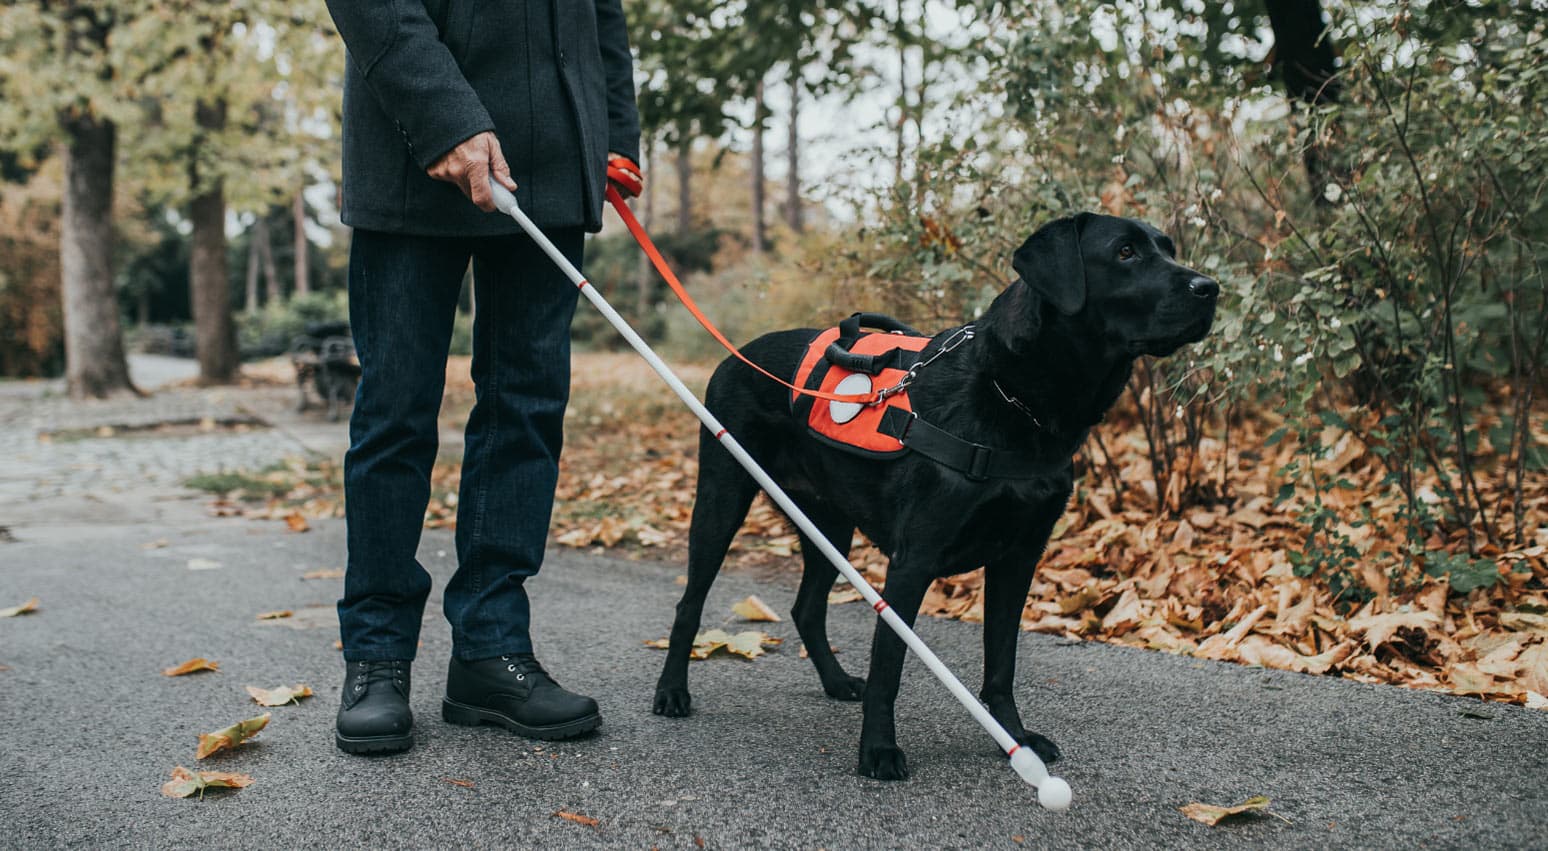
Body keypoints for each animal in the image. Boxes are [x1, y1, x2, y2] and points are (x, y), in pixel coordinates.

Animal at [647, 211, 1213, 779]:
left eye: (1168, 248)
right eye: (1124, 252)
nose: (1210, 288)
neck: (1013, 396)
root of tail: (735, 356)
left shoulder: (1019, 557)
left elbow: (1001, 664)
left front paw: (1016, 739)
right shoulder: (912, 560)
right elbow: (889, 667)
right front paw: (877, 749)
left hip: (828, 524)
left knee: (806, 608)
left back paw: (835, 681)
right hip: (722, 499)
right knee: (689, 603)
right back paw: (672, 692)